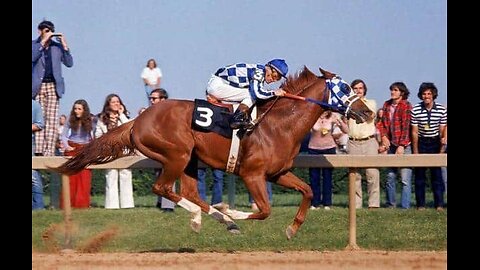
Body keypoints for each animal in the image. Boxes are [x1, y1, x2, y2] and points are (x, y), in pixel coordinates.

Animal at [53, 66, 376, 239]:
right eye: (345, 88)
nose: (368, 112)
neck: (279, 124)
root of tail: (138, 120)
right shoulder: (252, 174)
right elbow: (264, 211)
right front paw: (233, 210)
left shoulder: (278, 173)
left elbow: (308, 191)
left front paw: (292, 229)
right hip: (177, 155)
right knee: (164, 188)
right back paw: (215, 217)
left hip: (190, 160)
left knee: (189, 192)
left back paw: (212, 219)